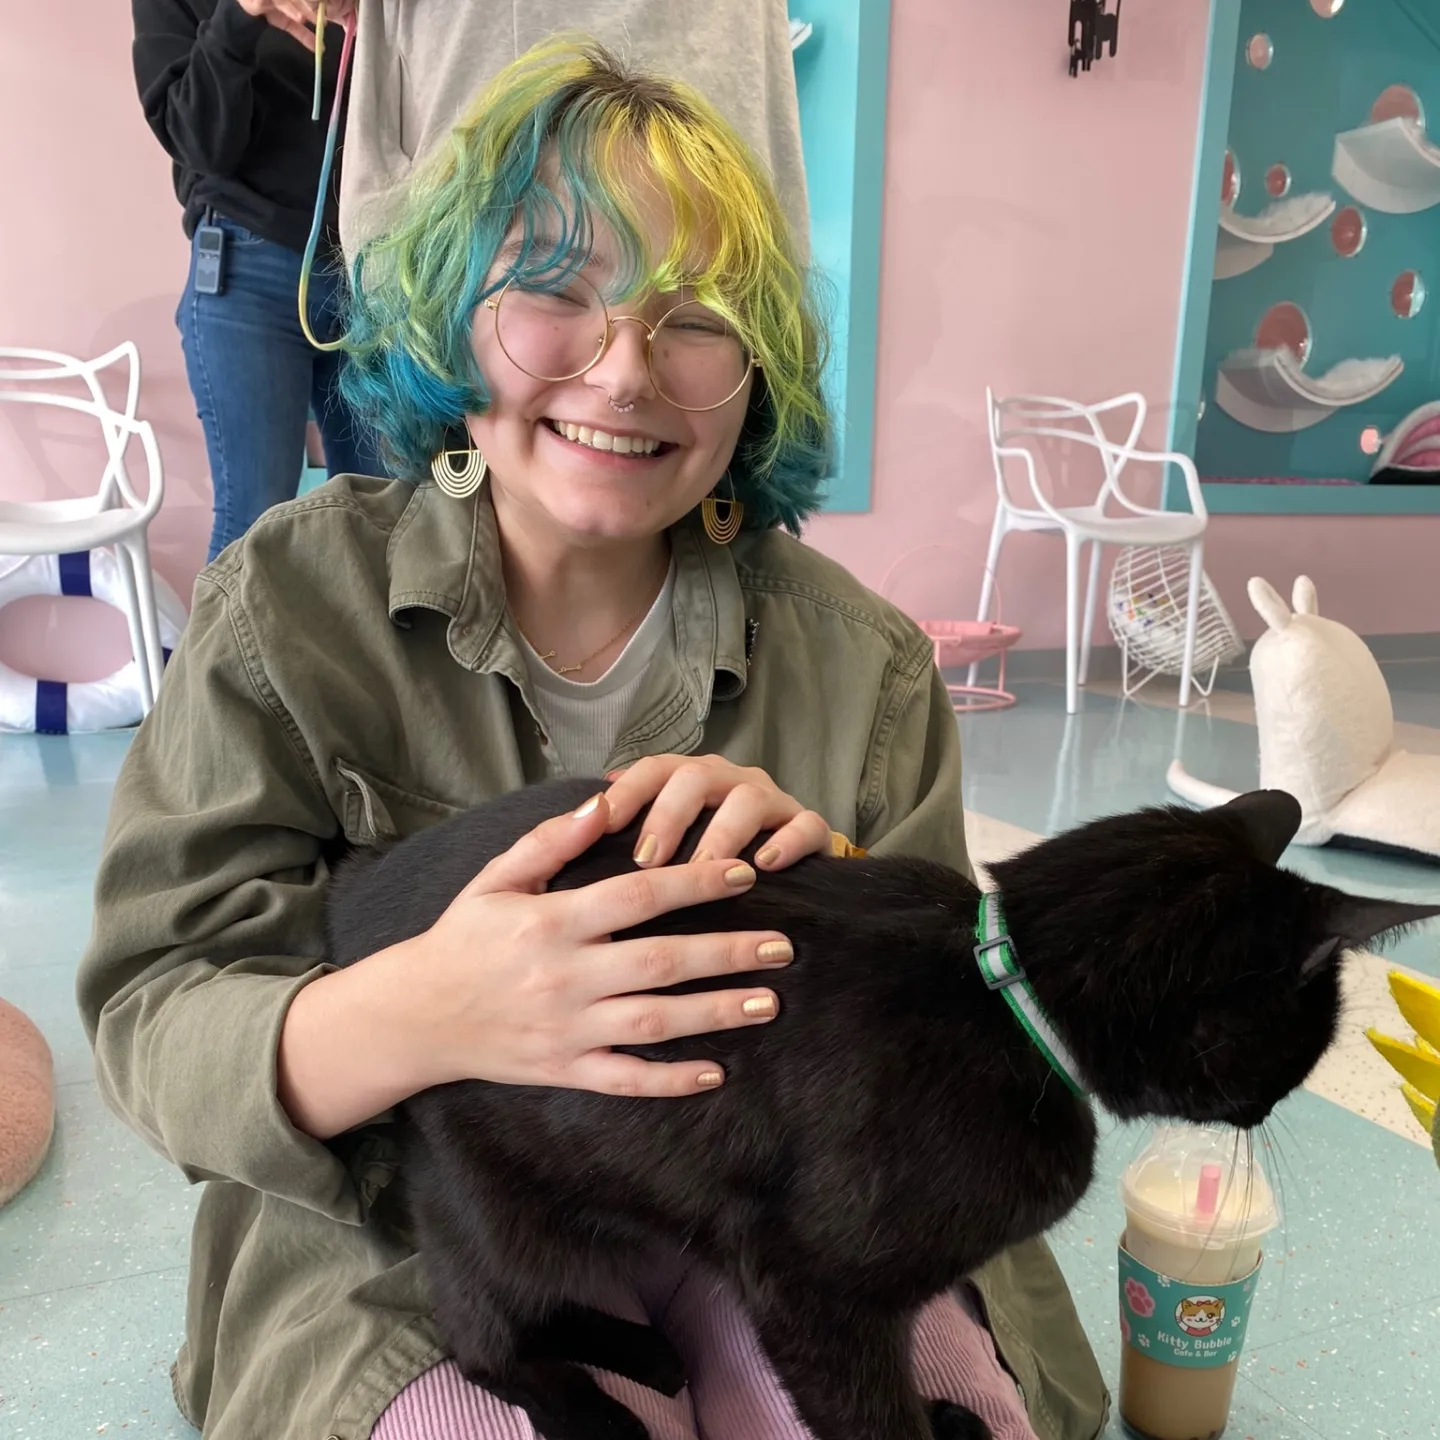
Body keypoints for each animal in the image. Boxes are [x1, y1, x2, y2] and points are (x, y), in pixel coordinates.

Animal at [327, 777, 1440, 1440]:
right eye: (1311, 1042)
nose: (1269, 1115)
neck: (1002, 991)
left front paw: (943, 1421)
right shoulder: (816, 1293)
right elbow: (872, 1416)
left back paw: (645, 1350)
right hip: (495, 1201)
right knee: (478, 1329)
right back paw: (595, 1405)